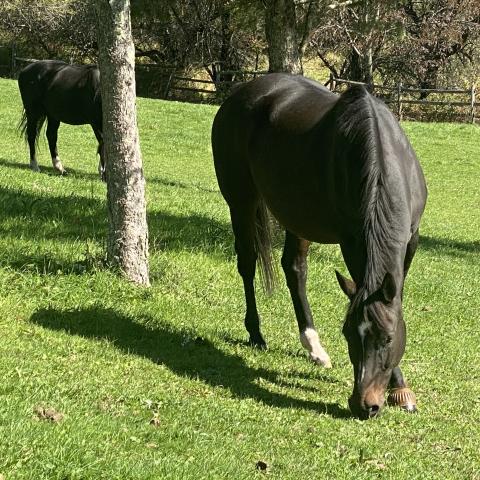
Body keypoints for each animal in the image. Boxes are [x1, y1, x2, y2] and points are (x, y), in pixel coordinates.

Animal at [214, 73, 428, 418]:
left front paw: (401, 389)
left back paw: (313, 347)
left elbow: (396, 303)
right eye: (348, 333)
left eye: (387, 338)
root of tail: (240, 94)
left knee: (294, 269)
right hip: (241, 201)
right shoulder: (352, 241)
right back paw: (256, 334)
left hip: (296, 216)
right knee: (247, 262)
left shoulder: (411, 240)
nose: (363, 405)